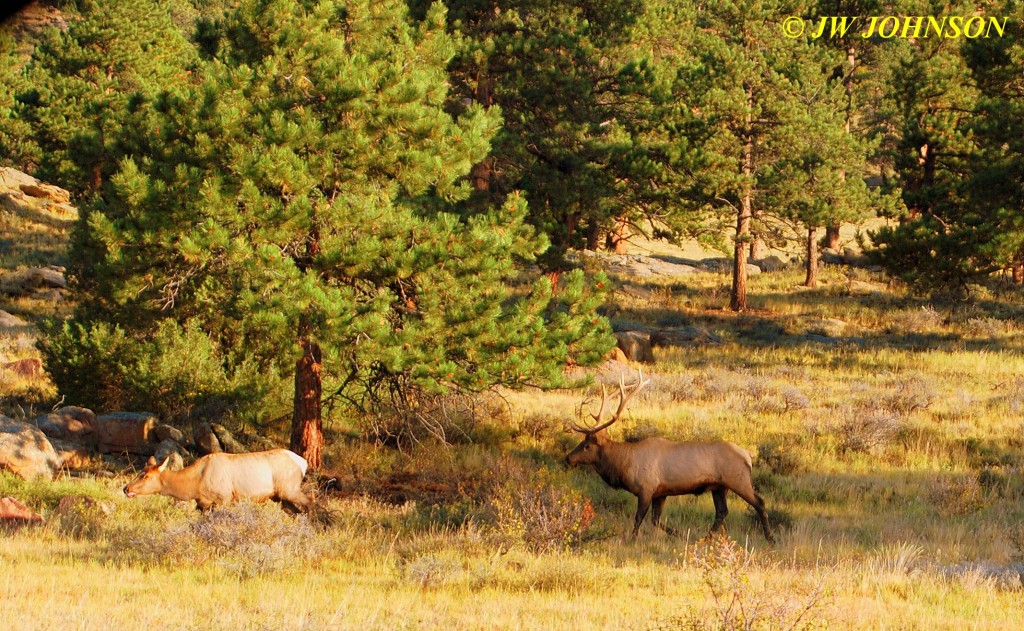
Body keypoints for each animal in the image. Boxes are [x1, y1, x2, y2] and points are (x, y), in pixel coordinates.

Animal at [123, 448, 309, 512]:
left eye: (146, 475)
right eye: (140, 472)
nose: (126, 488)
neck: (195, 485)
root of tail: (303, 462)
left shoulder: (224, 498)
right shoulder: (203, 504)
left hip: (290, 489)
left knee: (311, 503)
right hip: (280, 497)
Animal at [565, 368, 770, 540]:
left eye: (587, 445)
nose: (568, 458)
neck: (623, 464)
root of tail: (748, 457)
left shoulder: (646, 488)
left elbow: (638, 519)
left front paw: (632, 540)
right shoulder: (660, 493)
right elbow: (656, 520)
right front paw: (679, 533)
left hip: (738, 480)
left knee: (759, 502)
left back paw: (770, 537)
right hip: (719, 487)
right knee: (722, 512)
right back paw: (706, 538)